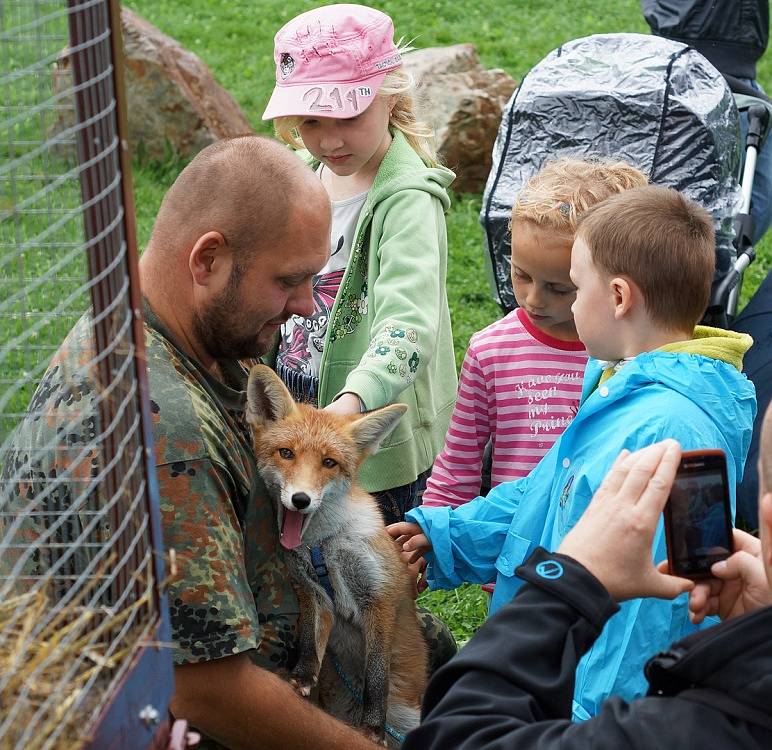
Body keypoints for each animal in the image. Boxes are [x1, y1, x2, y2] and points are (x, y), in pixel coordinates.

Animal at [247, 366, 428, 748]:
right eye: (286, 453)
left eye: (329, 463)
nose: (300, 500)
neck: (326, 544)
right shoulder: (314, 593)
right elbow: (308, 644)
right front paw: (299, 681)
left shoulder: (379, 598)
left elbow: (377, 675)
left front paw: (372, 727)